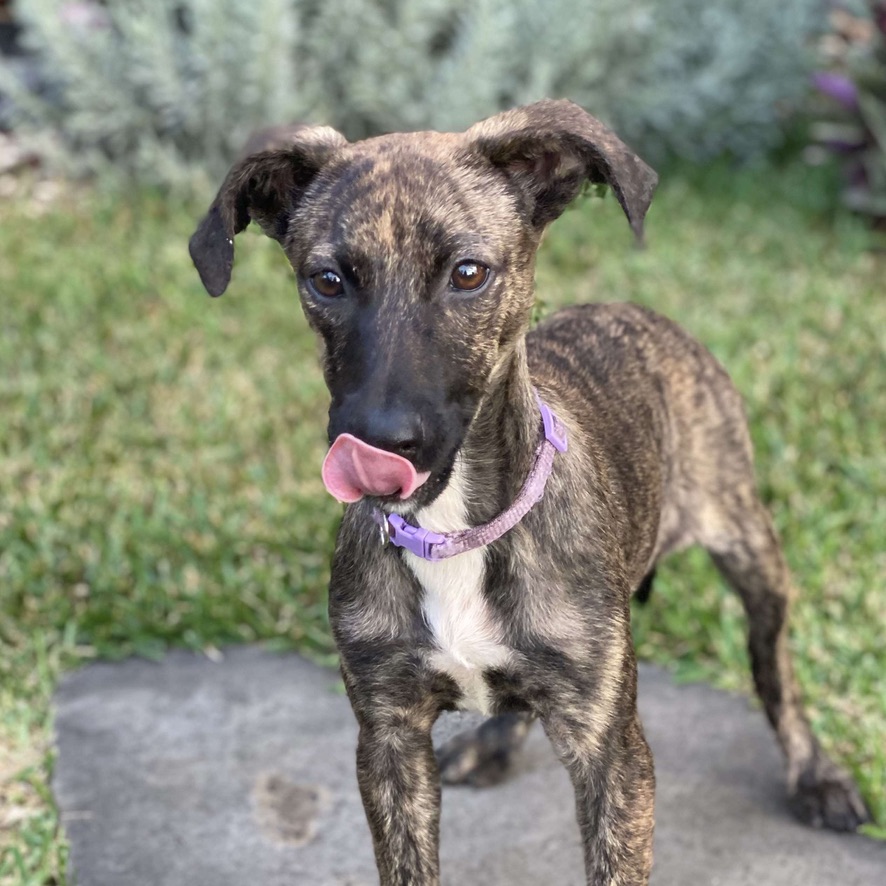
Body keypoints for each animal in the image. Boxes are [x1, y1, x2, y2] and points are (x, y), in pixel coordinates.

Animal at [189, 100, 876, 884]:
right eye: (327, 280)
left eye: (468, 273)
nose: (378, 442)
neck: (453, 530)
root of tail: (636, 312)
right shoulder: (387, 738)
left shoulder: (613, 753)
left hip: (751, 549)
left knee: (775, 672)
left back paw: (818, 776)